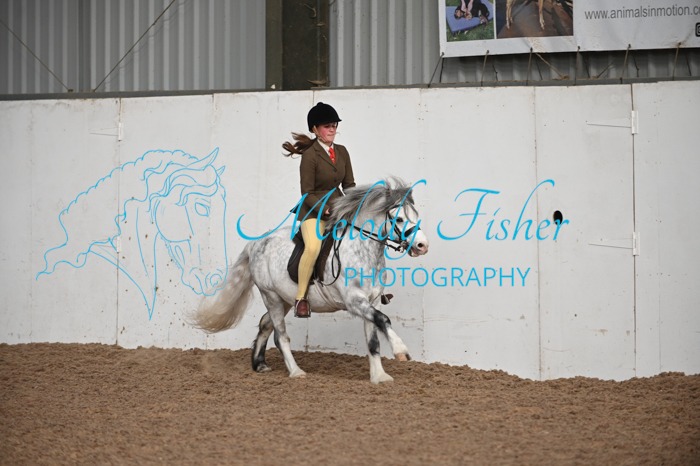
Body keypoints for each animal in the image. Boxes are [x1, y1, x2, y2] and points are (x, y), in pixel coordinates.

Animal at [192, 178, 430, 384]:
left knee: (265, 323)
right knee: (280, 336)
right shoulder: (355, 301)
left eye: (416, 215)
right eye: (399, 219)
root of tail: (257, 243)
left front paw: (379, 377)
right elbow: (384, 319)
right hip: (271, 296)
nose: (422, 246)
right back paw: (296, 372)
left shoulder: (371, 301)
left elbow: (373, 339)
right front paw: (401, 350)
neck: (362, 250)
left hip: (285, 299)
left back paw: (259, 364)